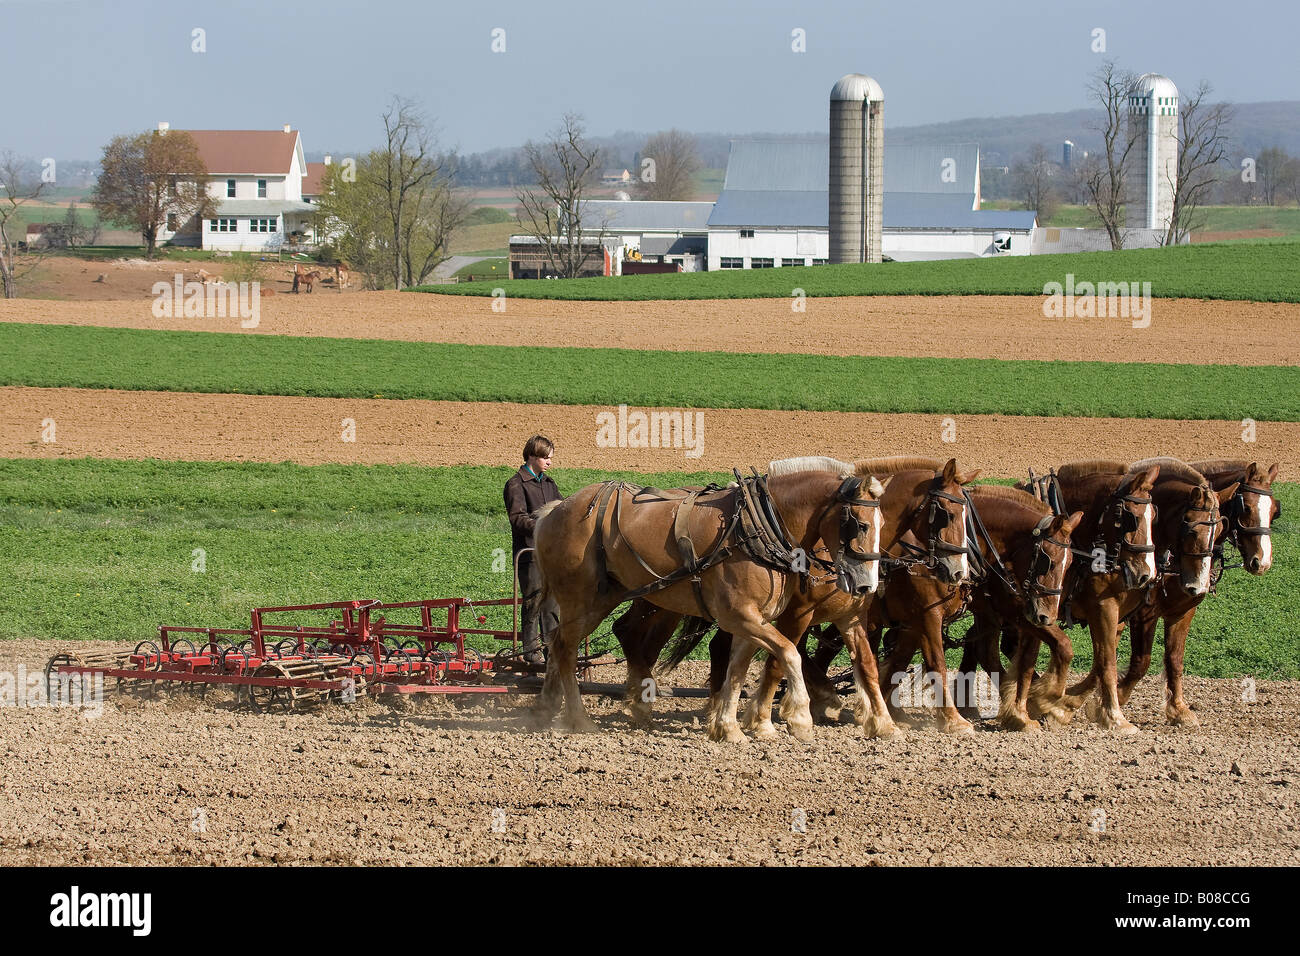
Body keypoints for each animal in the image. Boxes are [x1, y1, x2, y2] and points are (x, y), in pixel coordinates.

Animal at [531, 461, 887, 742]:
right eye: (861, 525)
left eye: (882, 524)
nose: (867, 585)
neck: (758, 526)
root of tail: (554, 510)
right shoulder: (741, 617)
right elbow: (789, 653)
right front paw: (798, 718)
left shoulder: (752, 621)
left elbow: (738, 671)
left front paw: (729, 727)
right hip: (582, 601)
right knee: (566, 648)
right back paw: (579, 718)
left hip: (606, 598)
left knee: (564, 641)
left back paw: (553, 707)